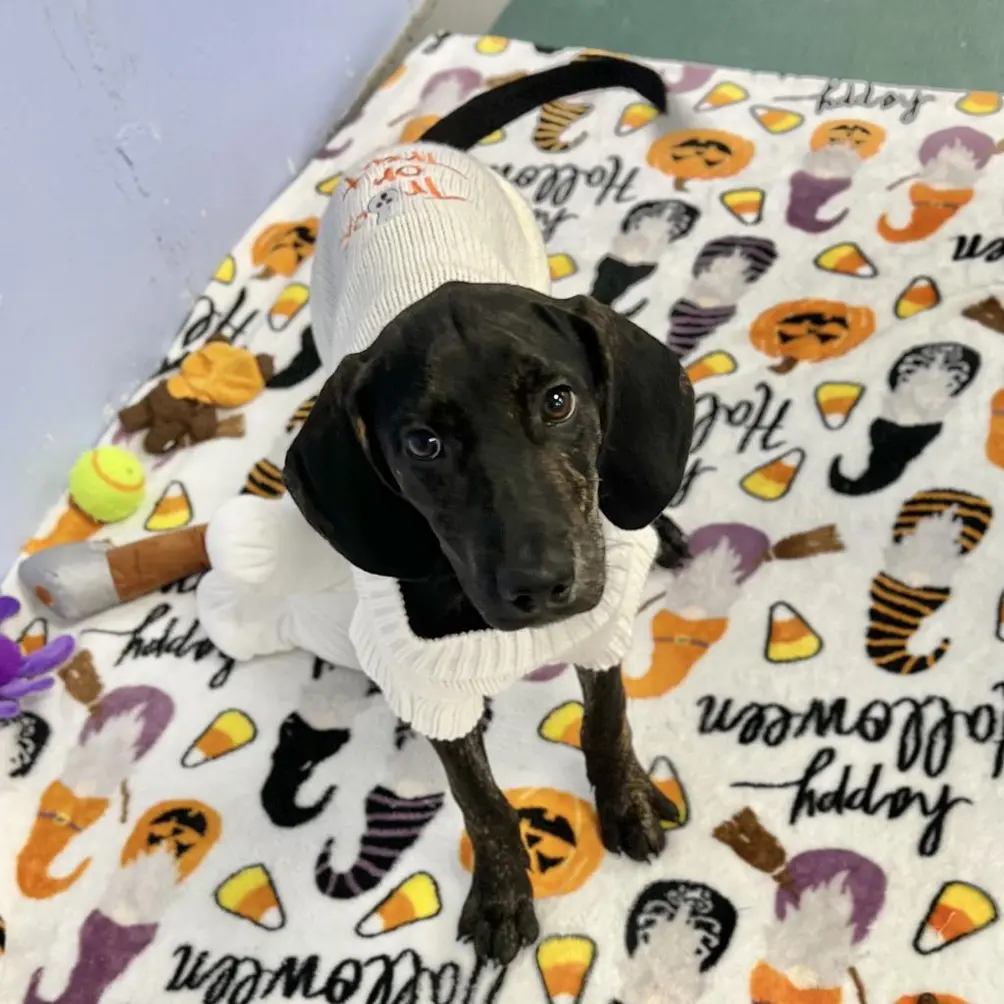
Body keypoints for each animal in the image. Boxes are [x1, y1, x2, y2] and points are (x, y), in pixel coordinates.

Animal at [283, 281, 690, 963]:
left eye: (558, 402)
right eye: (424, 444)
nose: (541, 585)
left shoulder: (601, 628)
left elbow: (606, 723)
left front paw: (627, 801)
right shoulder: (429, 687)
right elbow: (480, 800)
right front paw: (502, 891)